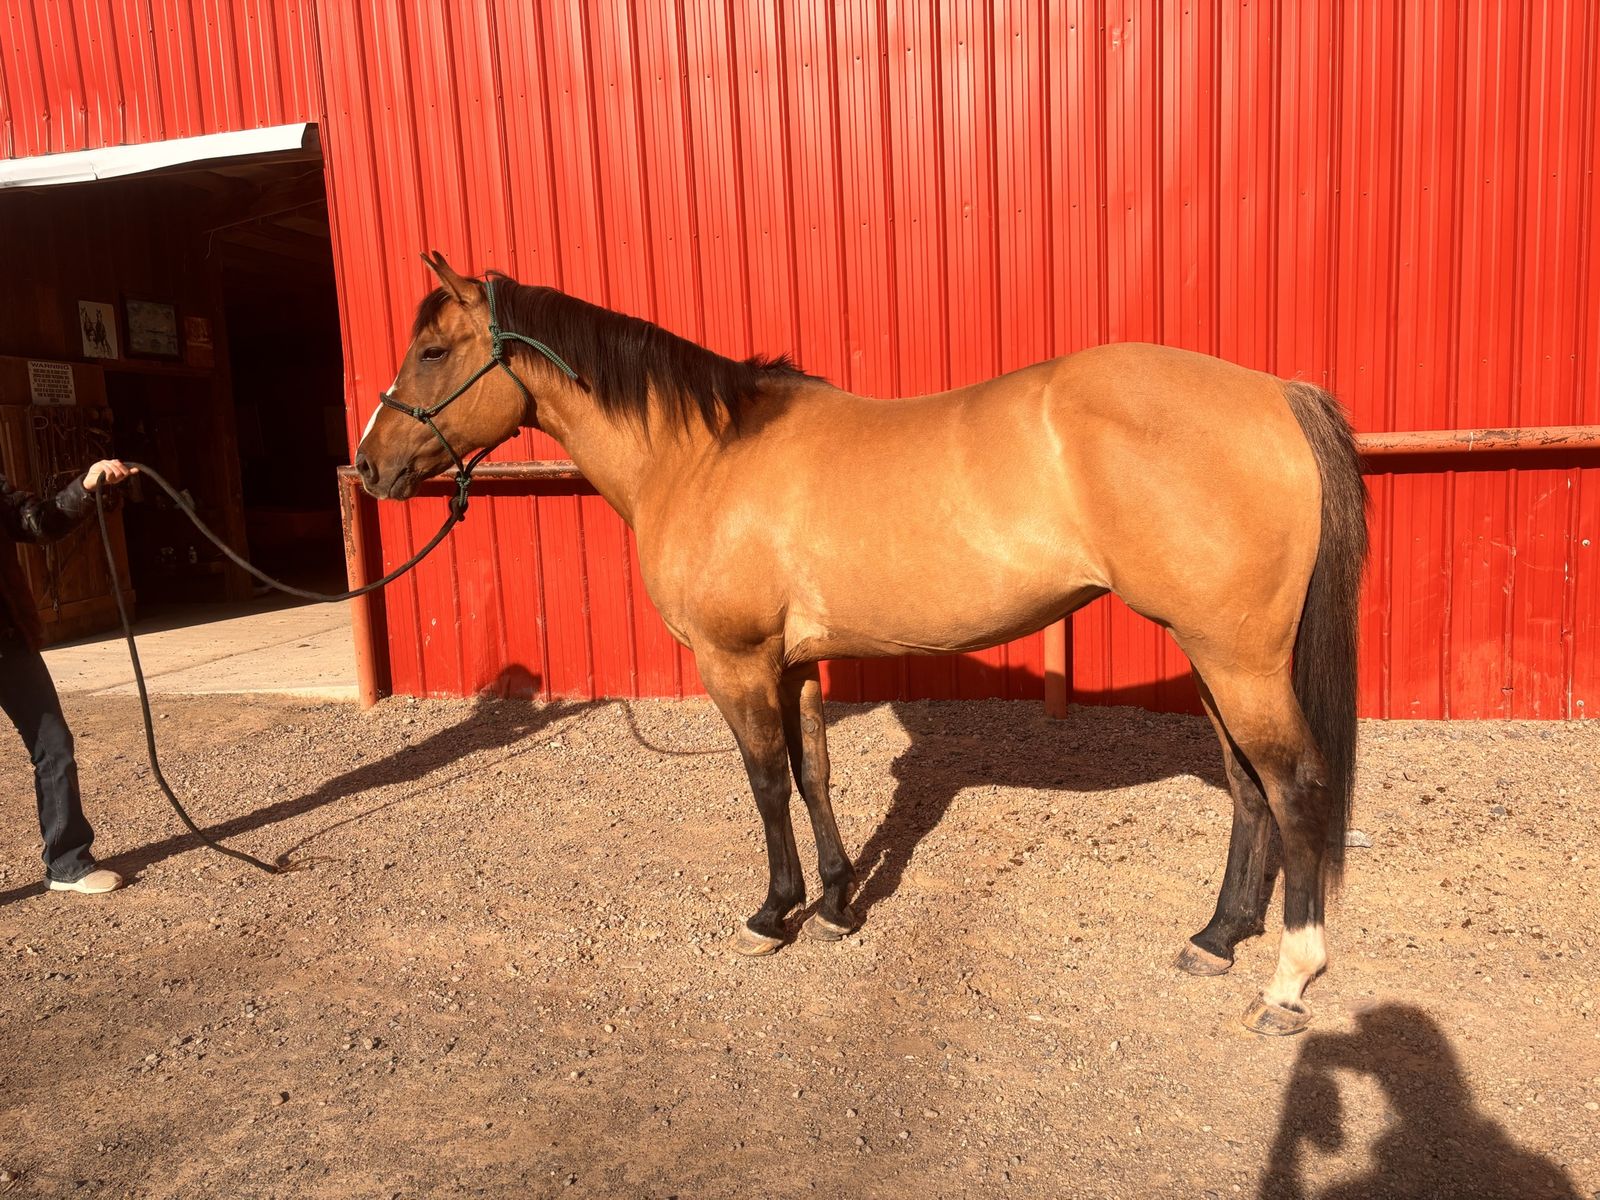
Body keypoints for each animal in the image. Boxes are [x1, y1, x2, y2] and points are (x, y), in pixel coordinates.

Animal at [355, 252, 1368, 1036]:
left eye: (434, 351)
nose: (368, 465)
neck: (704, 454)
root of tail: (1275, 394)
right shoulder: (795, 662)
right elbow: (814, 773)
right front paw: (840, 902)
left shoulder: (735, 661)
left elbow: (766, 782)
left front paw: (775, 914)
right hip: (1211, 656)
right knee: (1247, 786)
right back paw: (1216, 939)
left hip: (1238, 660)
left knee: (1293, 785)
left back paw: (1287, 981)